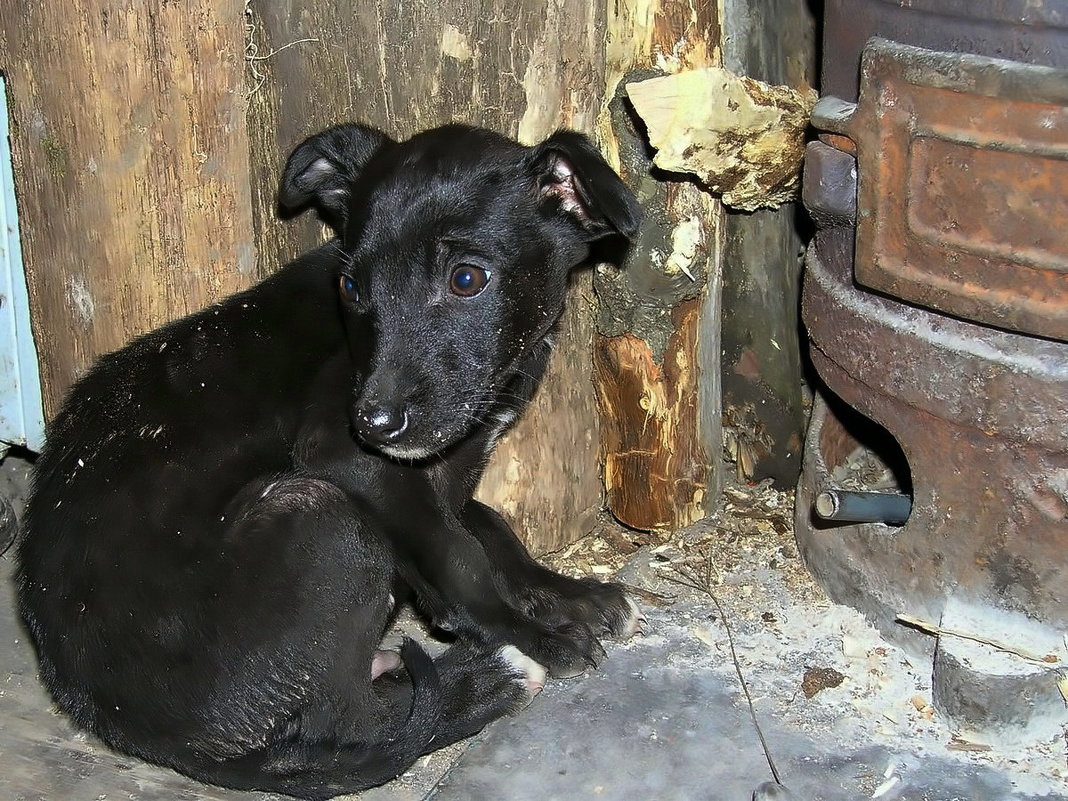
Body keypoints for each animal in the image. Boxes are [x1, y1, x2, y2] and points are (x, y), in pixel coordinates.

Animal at [14, 122, 640, 798]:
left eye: (467, 280)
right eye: (351, 287)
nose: (374, 422)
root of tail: (149, 736)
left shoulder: (433, 474)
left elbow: (485, 523)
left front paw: (565, 593)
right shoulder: (347, 456)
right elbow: (459, 553)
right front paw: (527, 633)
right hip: (323, 516)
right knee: (357, 724)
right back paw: (481, 682)